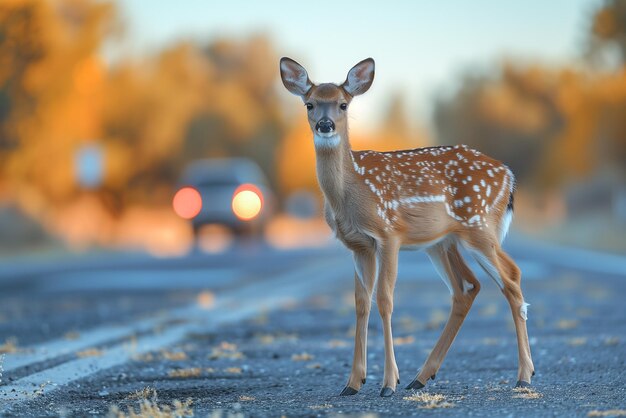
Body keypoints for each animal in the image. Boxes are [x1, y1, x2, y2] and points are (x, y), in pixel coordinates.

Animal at [280, 57, 532, 396]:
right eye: (310, 104)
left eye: (343, 104)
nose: (325, 125)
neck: (350, 191)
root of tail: (508, 175)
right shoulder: (358, 245)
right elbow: (361, 302)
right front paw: (353, 383)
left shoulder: (389, 234)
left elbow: (385, 300)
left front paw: (388, 383)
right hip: (443, 242)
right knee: (467, 287)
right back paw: (422, 376)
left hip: (480, 226)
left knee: (512, 278)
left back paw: (524, 375)